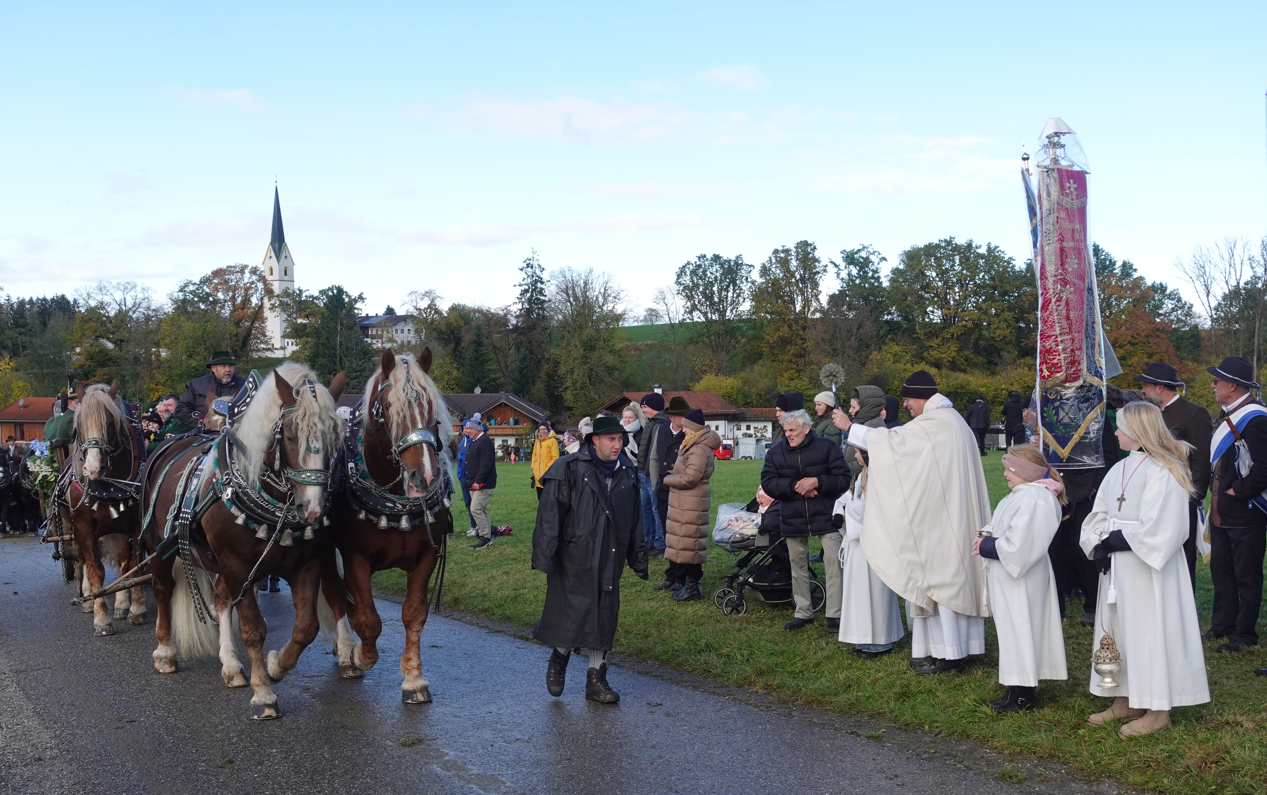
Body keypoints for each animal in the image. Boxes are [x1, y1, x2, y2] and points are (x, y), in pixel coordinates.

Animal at [58, 384, 146, 635]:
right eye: (78, 426)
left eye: (109, 423)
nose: (92, 468)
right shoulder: (83, 528)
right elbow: (95, 568)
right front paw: (101, 617)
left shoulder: (135, 526)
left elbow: (131, 564)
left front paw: (132, 607)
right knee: (83, 559)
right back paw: (87, 597)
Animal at [140, 362, 345, 720]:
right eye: (290, 436)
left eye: (335, 437)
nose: (313, 510)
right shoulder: (238, 566)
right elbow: (253, 629)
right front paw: (263, 693)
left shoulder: (306, 564)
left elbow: (306, 627)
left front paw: (276, 666)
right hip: (159, 548)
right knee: (164, 590)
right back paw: (165, 651)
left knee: (220, 600)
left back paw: (231, 665)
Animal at [319, 347, 453, 704]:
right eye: (389, 407)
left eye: (431, 406)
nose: (424, 476)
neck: (394, 503)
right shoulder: (355, 559)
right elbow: (368, 620)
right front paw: (359, 656)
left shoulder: (426, 557)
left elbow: (414, 614)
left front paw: (414, 679)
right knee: (336, 596)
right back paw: (345, 651)